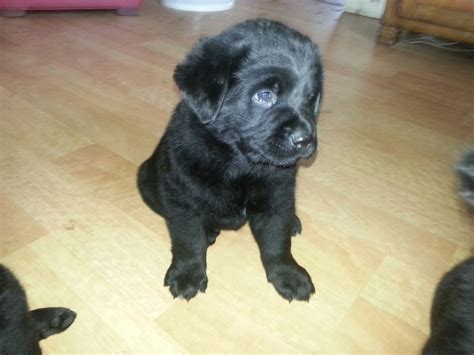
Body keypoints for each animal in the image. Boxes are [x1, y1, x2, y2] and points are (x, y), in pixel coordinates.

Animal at [137, 19, 322, 302]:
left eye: (311, 97)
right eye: (265, 95)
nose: (305, 139)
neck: (239, 163)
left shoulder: (278, 198)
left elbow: (277, 243)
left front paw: (288, 274)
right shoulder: (182, 203)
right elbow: (188, 242)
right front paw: (187, 274)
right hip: (146, 180)